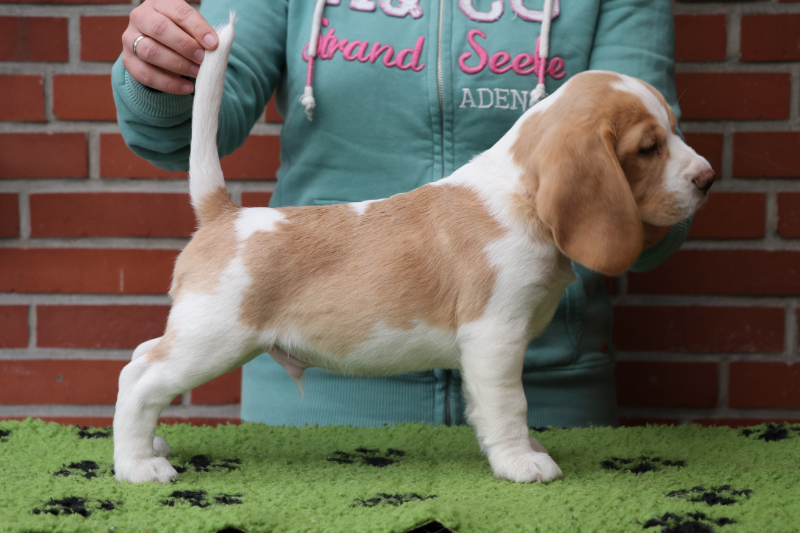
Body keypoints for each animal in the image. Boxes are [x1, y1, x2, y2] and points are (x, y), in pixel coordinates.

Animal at [113, 14, 714, 484]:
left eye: (675, 129)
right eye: (648, 148)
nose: (707, 179)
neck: (519, 196)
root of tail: (225, 214)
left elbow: (496, 408)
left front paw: (527, 451)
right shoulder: (494, 337)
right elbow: (510, 405)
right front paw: (522, 463)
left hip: (199, 334)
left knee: (140, 359)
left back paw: (150, 444)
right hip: (215, 338)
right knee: (139, 380)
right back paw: (139, 465)